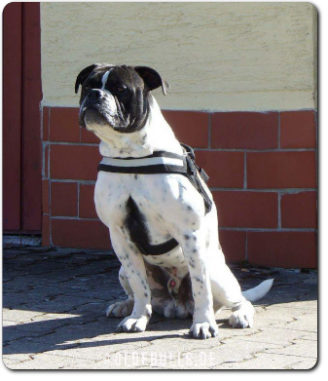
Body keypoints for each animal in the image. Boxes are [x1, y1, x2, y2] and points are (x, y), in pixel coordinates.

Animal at [75, 63, 272, 338]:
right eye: (86, 85)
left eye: (120, 88)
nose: (94, 94)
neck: (131, 156)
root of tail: (175, 305)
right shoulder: (120, 236)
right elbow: (140, 285)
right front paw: (137, 318)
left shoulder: (190, 234)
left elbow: (201, 288)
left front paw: (203, 324)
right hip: (122, 270)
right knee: (140, 292)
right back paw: (126, 306)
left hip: (216, 274)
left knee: (239, 300)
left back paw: (239, 314)